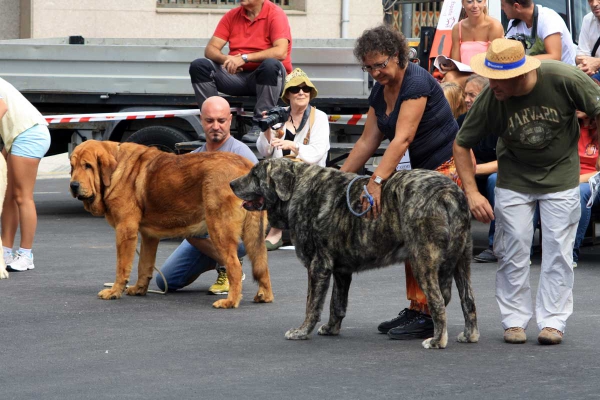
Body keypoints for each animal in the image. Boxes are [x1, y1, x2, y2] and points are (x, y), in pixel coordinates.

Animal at [232, 159, 480, 350]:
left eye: (255, 175)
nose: (231, 183)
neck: (296, 189)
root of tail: (449, 192)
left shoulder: (318, 267)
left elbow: (312, 304)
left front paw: (302, 331)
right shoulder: (341, 271)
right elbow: (337, 304)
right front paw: (331, 328)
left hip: (422, 260)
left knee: (437, 301)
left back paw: (437, 340)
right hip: (462, 261)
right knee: (468, 300)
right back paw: (470, 335)